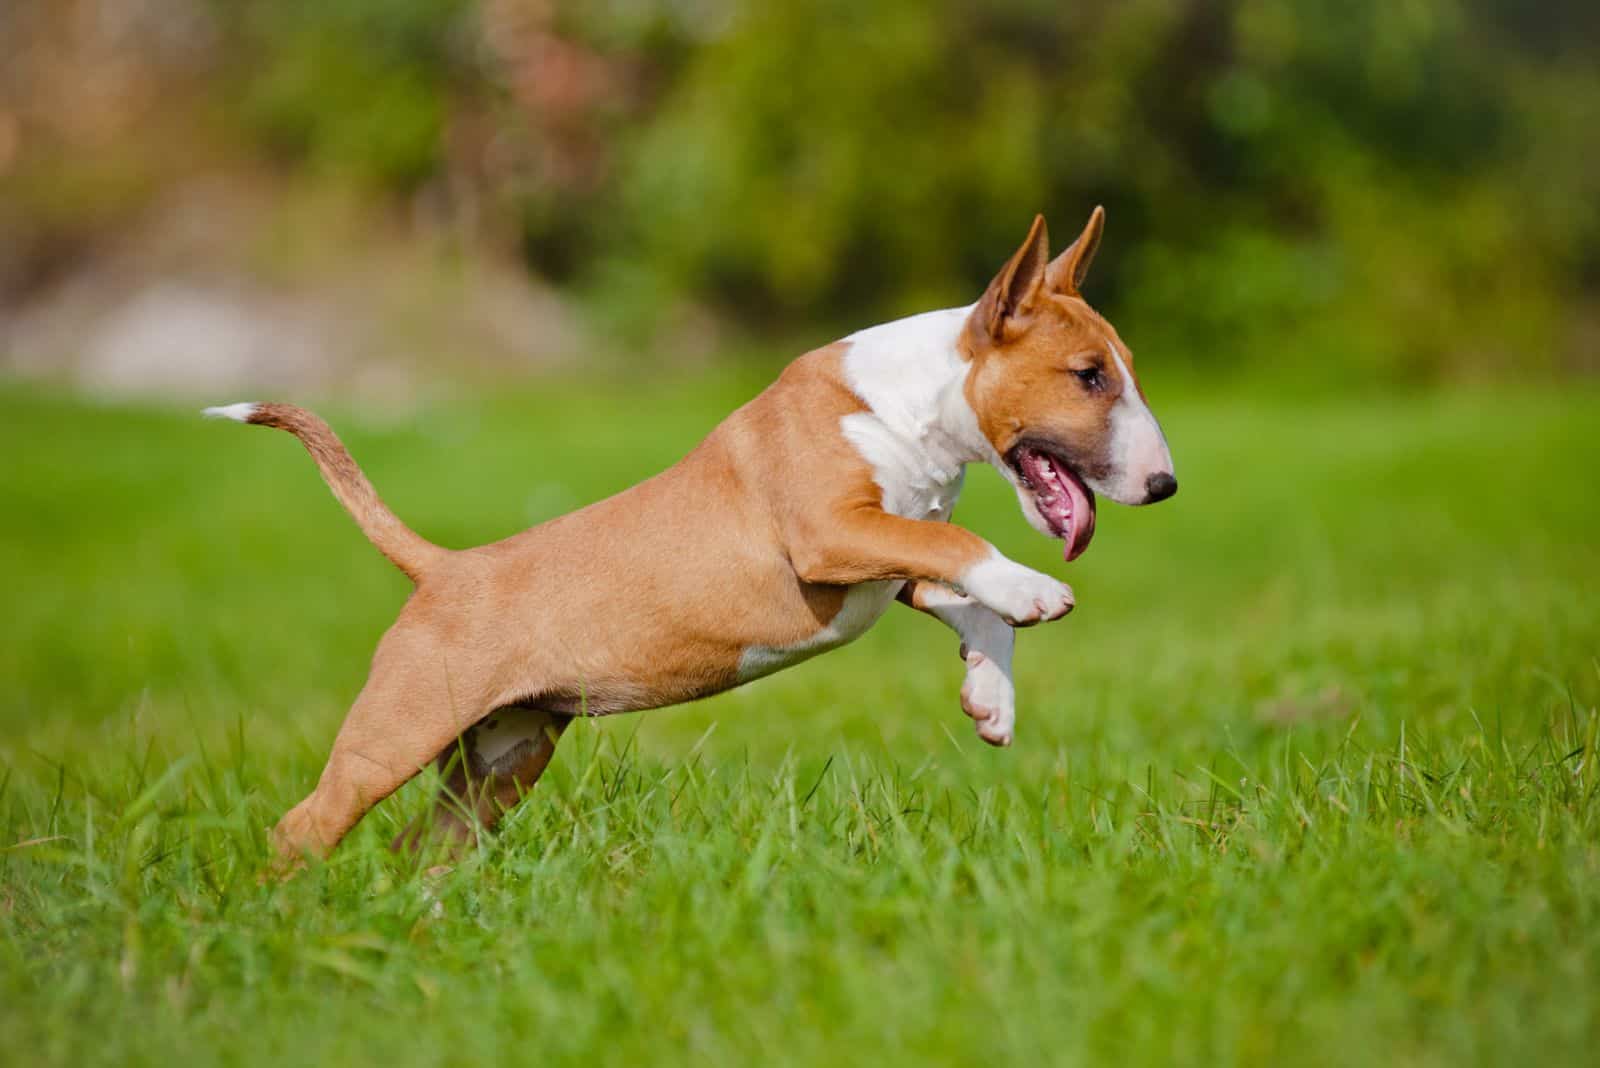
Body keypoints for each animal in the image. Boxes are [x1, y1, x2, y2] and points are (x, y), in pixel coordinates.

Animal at [203, 211, 1177, 869]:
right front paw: (1035, 592)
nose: (1164, 487)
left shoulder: (889, 555)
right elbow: (969, 547)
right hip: (399, 732)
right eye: (1088, 377)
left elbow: (966, 596)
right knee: (305, 826)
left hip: (503, 756)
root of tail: (443, 568)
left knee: (425, 845)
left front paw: (991, 697)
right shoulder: (830, 534)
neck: (912, 403)